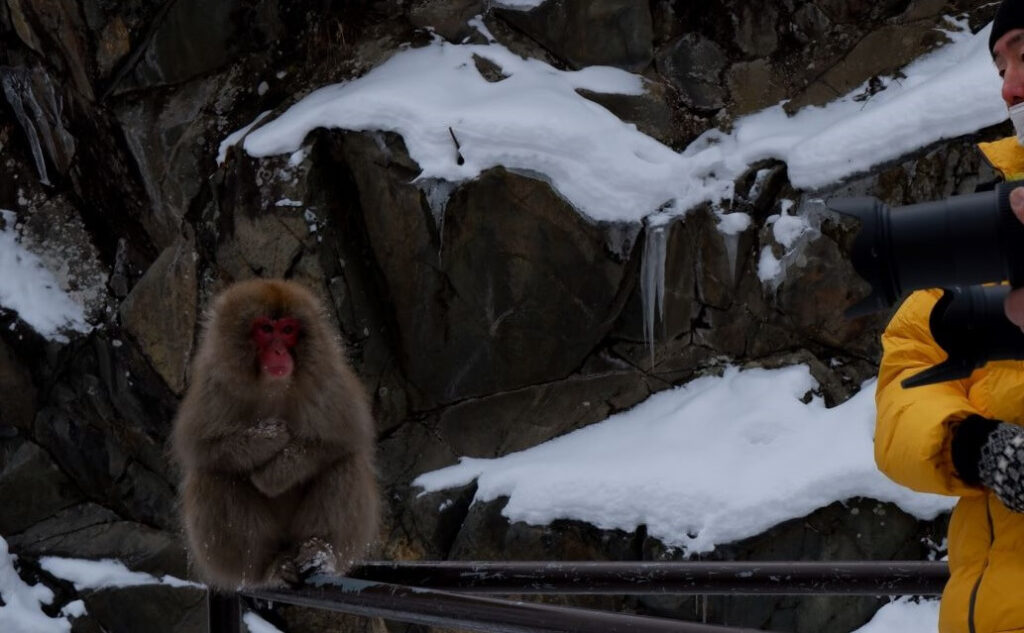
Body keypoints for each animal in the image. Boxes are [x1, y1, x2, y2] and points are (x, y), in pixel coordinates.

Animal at [172, 276, 380, 585]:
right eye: (266, 329)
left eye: (288, 330)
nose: (279, 351)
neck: (272, 386)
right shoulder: (214, 386)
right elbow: (201, 447)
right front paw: (267, 438)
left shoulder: (328, 381)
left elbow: (344, 438)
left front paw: (275, 473)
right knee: (212, 476)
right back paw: (270, 566)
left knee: (345, 463)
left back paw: (318, 549)